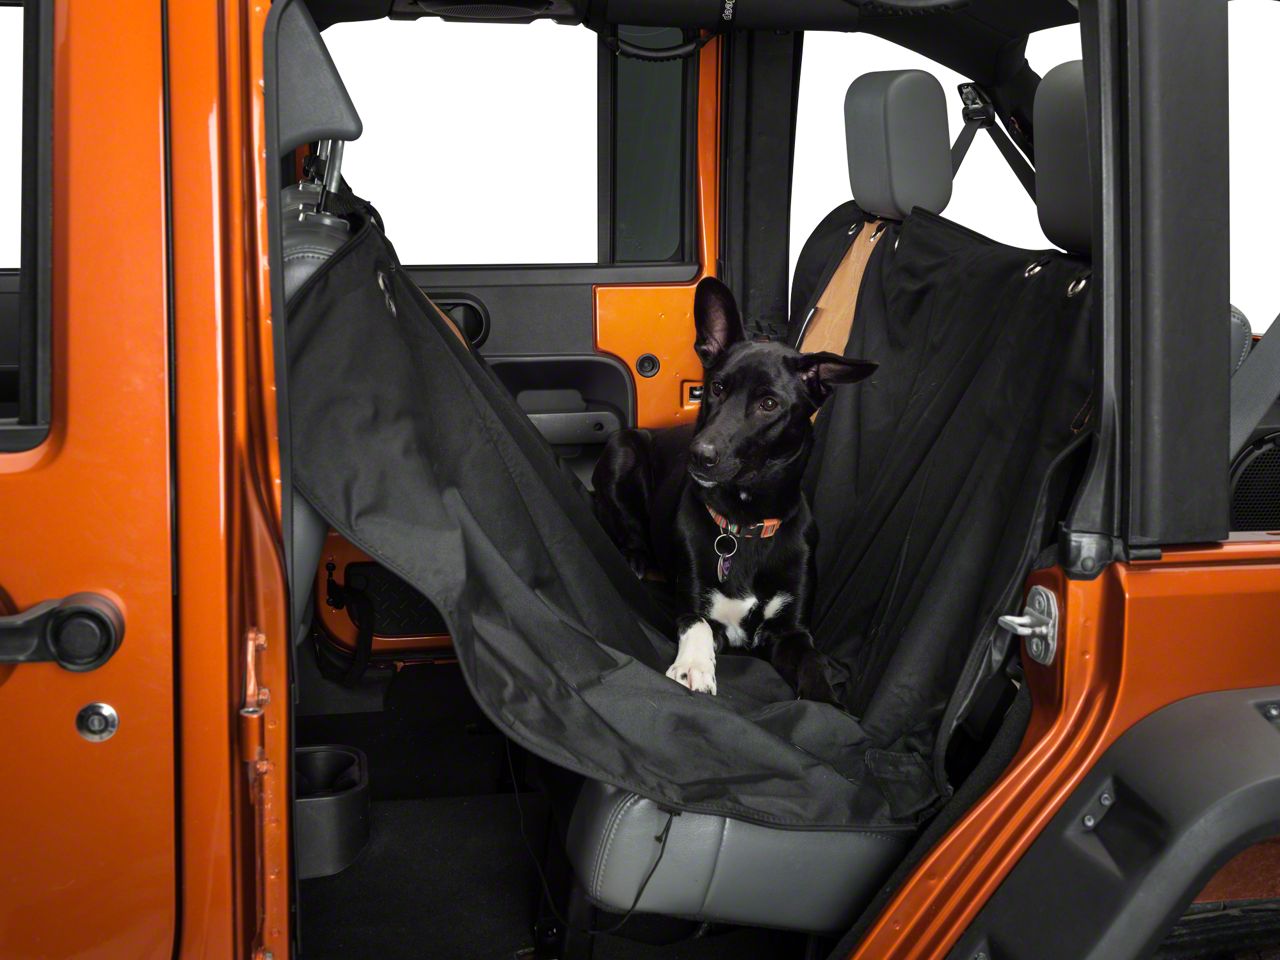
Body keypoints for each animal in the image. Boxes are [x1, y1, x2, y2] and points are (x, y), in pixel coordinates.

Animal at [591, 273, 875, 701]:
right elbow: (698, 625)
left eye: (769, 404)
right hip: (622, 450)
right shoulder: (695, 607)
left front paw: (826, 702)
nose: (698, 455)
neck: (745, 523)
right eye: (717, 387)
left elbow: (812, 663)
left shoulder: (791, 631)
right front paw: (693, 667)